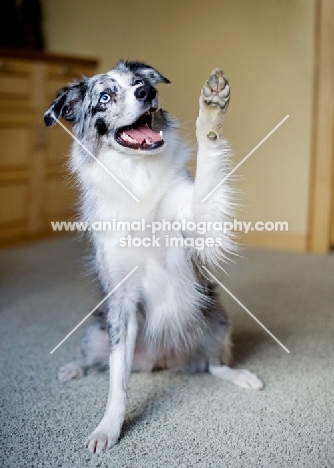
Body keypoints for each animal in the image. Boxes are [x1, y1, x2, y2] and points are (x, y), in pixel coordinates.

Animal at [44, 62, 264, 454]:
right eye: (105, 96)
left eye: (138, 82)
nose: (147, 92)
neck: (136, 174)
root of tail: (163, 360)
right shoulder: (122, 301)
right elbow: (117, 381)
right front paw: (108, 429)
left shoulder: (199, 225)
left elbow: (208, 167)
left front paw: (212, 108)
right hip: (96, 334)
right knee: (94, 359)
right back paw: (72, 368)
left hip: (217, 323)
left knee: (213, 365)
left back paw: (241, 376)